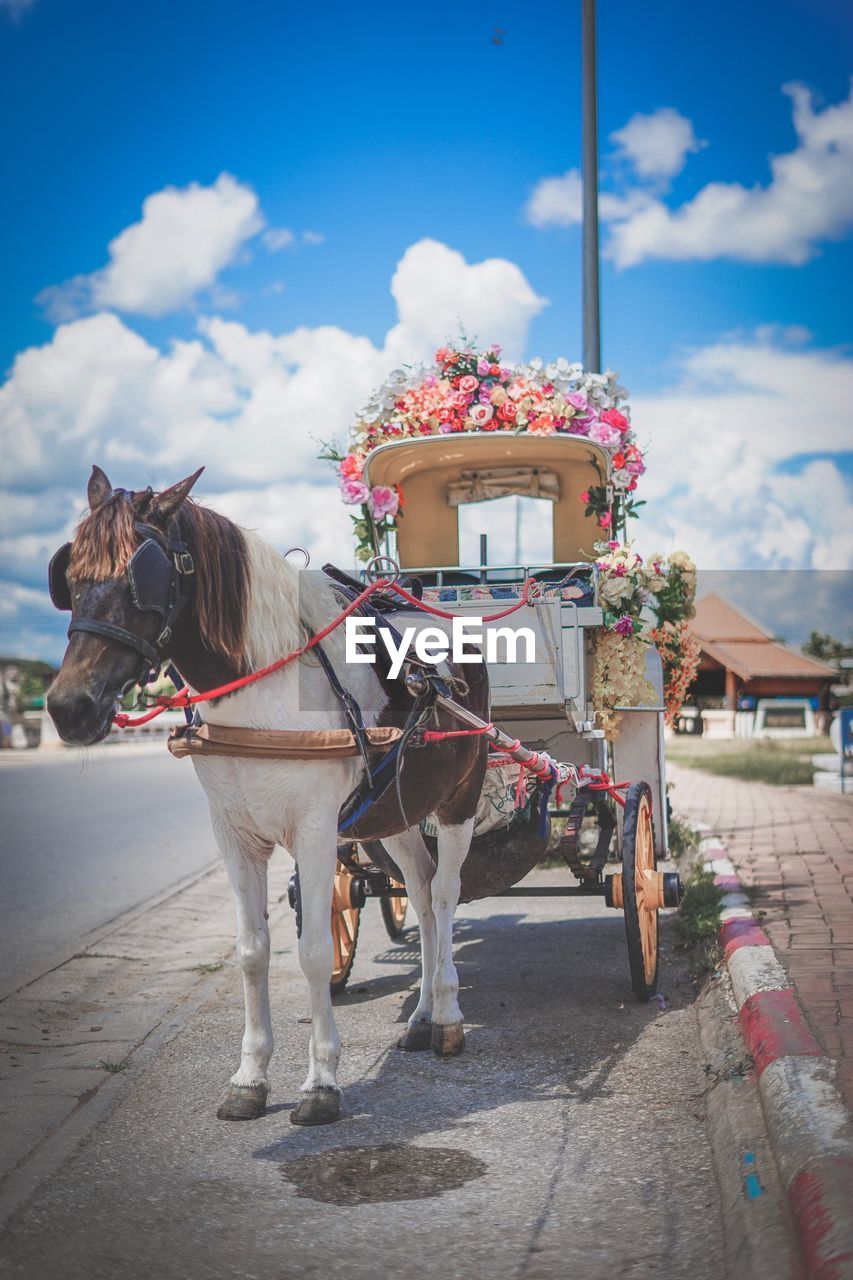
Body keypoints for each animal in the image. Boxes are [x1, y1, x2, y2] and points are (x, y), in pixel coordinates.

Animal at [44, 465, 484, 1126]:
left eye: (140, 578)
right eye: (68, 578)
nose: (68, 708)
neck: (265, 690)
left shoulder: (315, 830)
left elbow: (312, 951)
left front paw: (321, 1081)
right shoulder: (234, 834)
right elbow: (253, 951)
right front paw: (250, 1075)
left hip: (459, 796)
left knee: (448, 893)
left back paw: (450, 1014)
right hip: (394, 812)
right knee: (424, 890)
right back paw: (426, 1013)